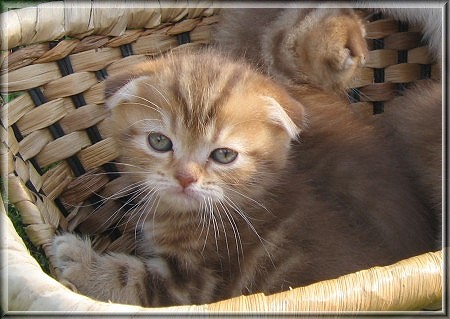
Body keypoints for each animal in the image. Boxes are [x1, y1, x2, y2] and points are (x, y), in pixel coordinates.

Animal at [50, 50, 436, 308]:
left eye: (224, 155)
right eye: (159, 141)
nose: (185, 178)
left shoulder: (199, 285)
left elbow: (131, 279)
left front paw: (78, 260)